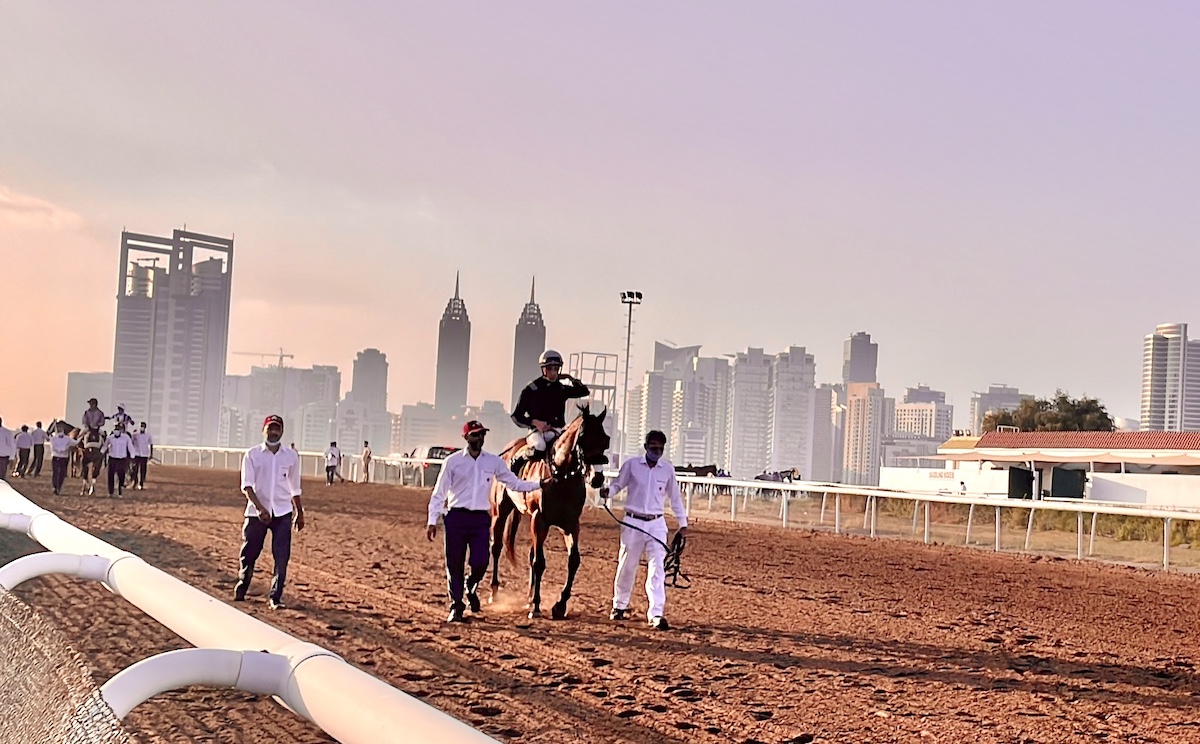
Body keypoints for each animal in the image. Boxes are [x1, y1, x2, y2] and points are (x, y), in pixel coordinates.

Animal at [492, 403, 614, 619]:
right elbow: (539, 562)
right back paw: (494, 592)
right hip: (501, 511)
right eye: (583, 439)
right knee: (496, 547)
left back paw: (528, 597)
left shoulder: (571, 524)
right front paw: (536, 606)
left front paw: (559, 605)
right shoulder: (539, 520)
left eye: (605, 440)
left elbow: (573, 560)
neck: (562, 477)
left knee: (530, 554)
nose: (597, 478)